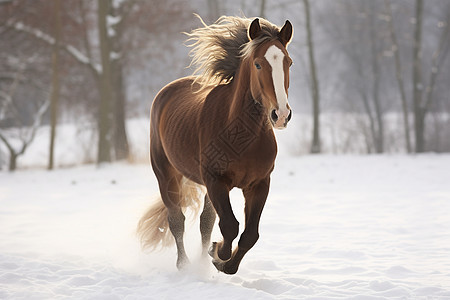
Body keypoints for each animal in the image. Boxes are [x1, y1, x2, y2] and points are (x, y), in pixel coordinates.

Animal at [135, 15, 294, 274]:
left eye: (289, 62)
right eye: (258, 64)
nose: (280, 115)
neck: (242, 135)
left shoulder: (259, 184)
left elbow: (249, 234)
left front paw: (221, 260)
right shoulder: (215, 180)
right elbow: (229, 226)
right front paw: (218, 253)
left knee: (205, 222)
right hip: (166, 174)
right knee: (176, 219)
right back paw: (184, 265)